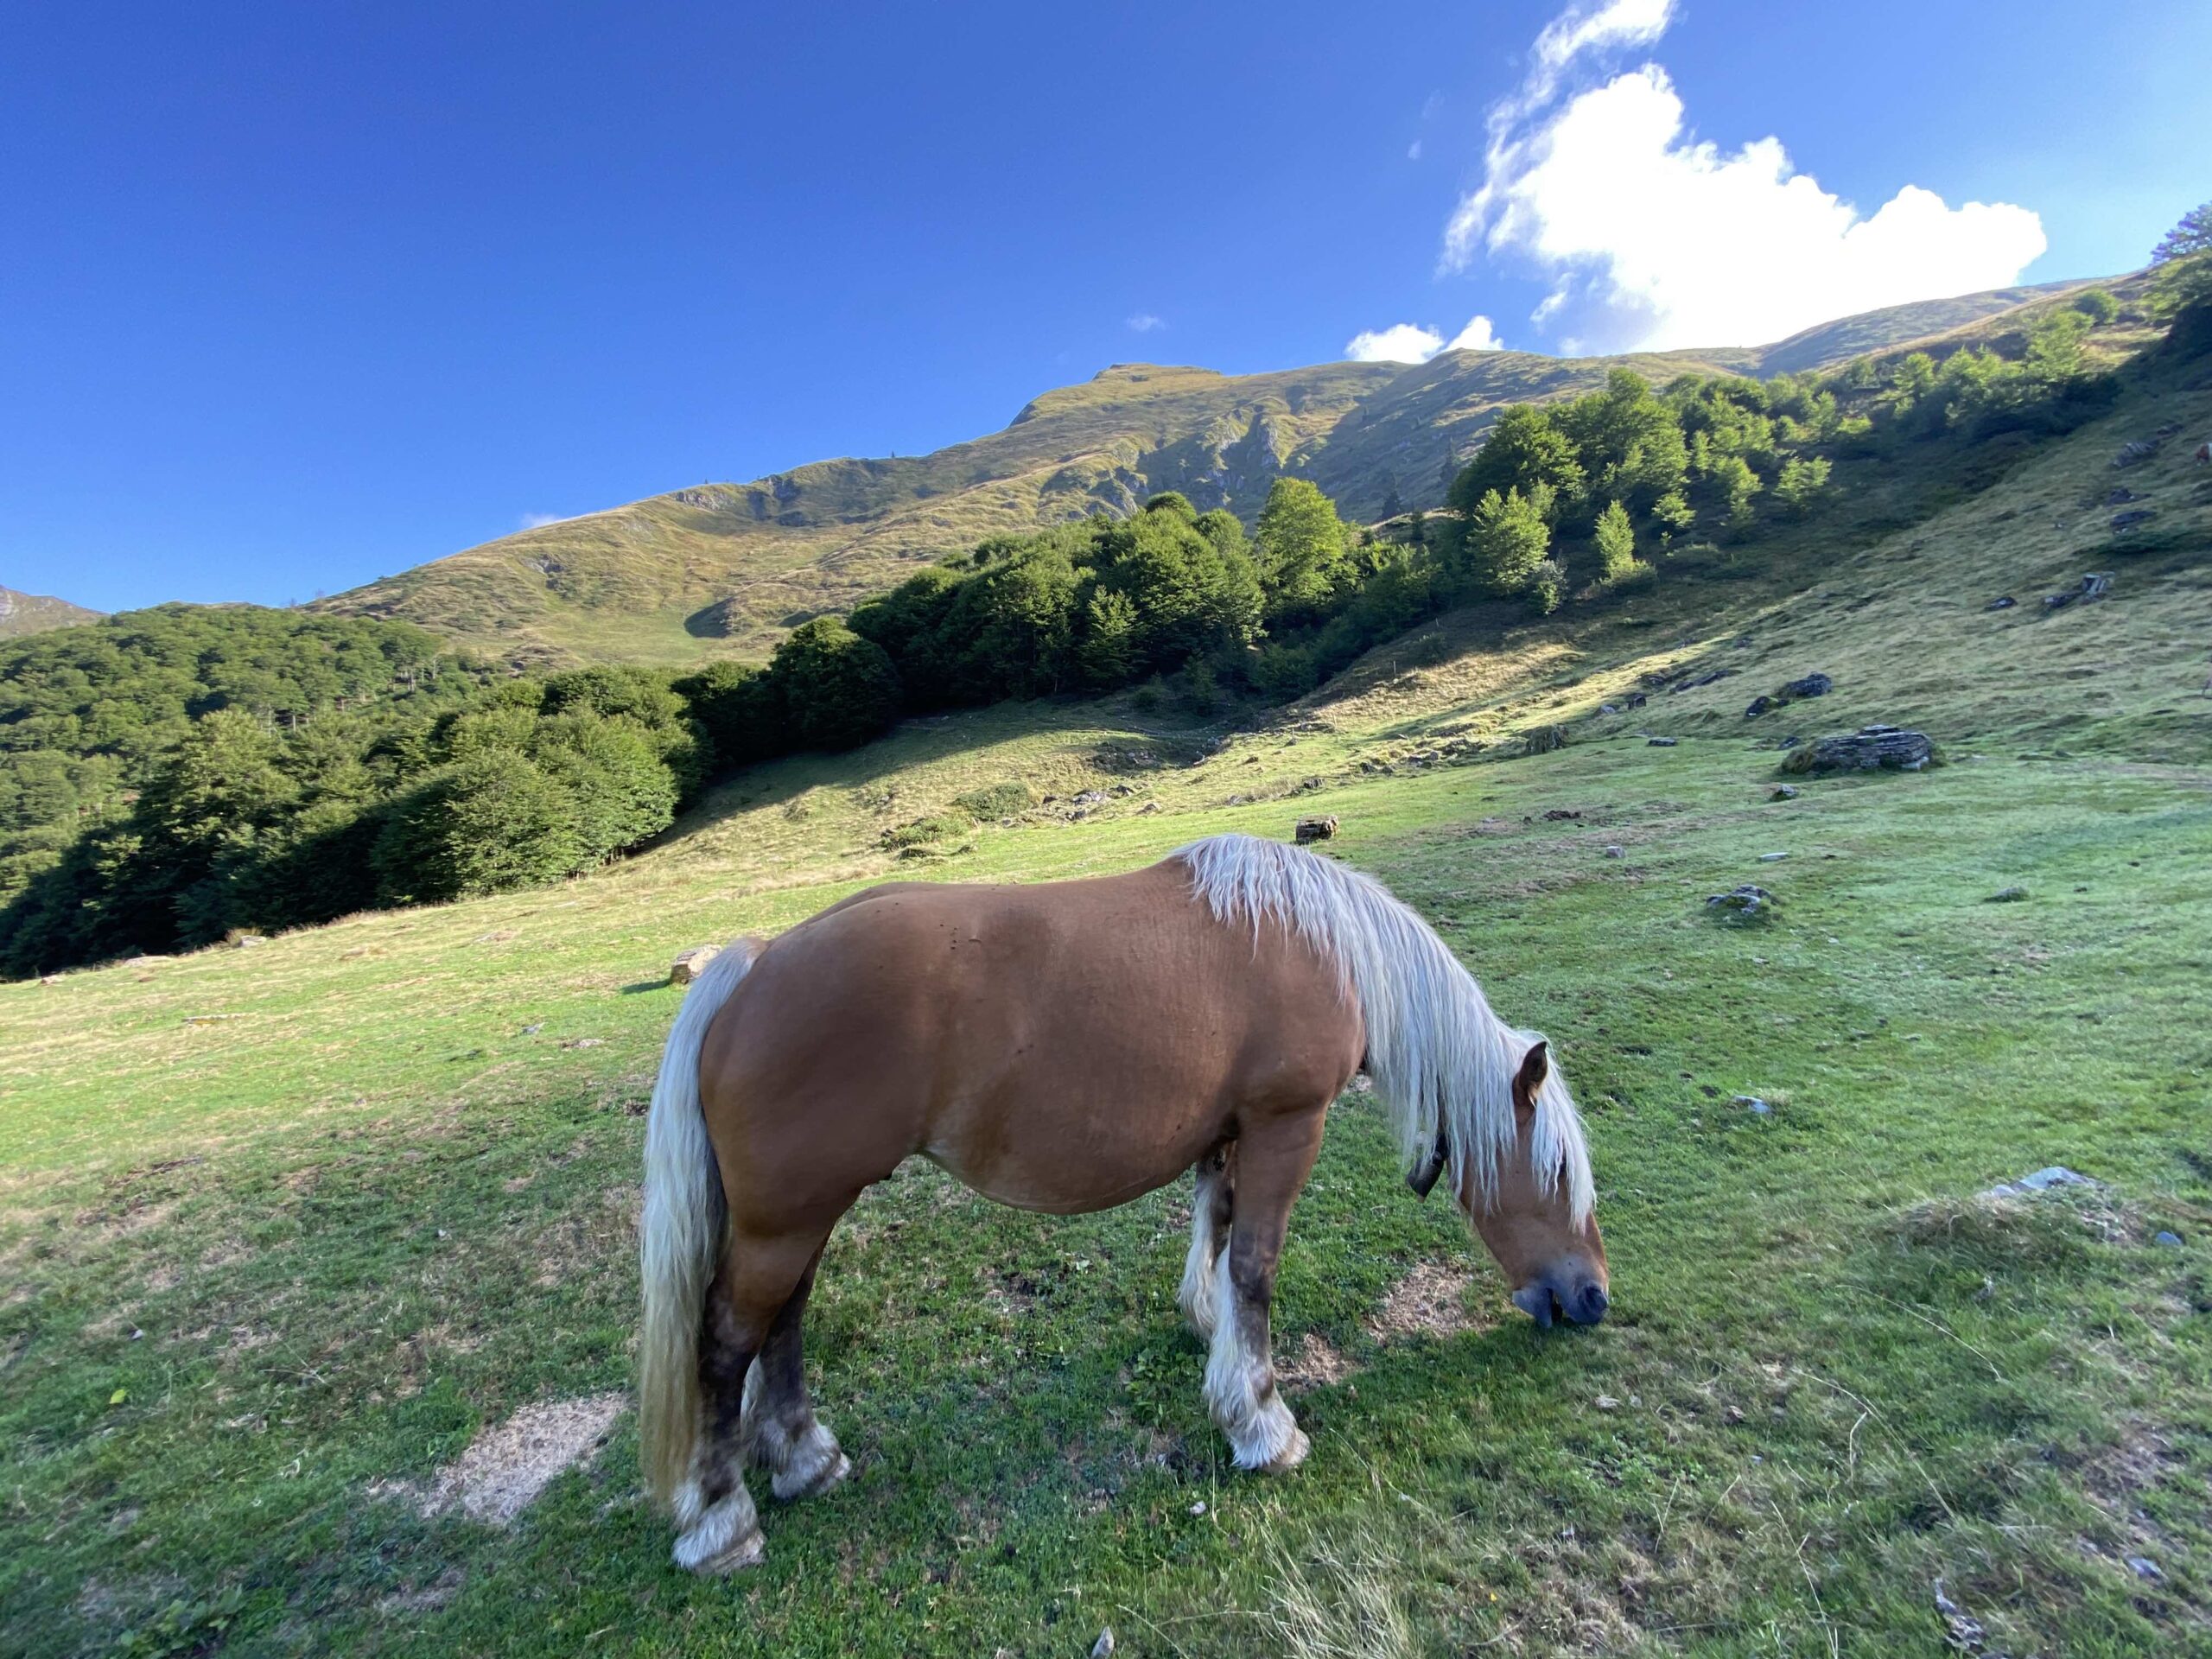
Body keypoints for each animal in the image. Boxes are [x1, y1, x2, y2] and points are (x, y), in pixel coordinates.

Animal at [632, 836, 1601, 1574]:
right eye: (1556, 1172)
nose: (1591, 1297)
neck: (1326, 949)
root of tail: (755, 968)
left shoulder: (1230, 1133)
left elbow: (1217, 1233)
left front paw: (1209, 1341)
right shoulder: (1286, 1125)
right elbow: (1256, 1267)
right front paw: (1262, 1424)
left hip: (801, 1217)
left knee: (784, 1322)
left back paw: (804, 1459)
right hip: (783, 1223)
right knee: (725, 1343)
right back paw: (721, 1521)